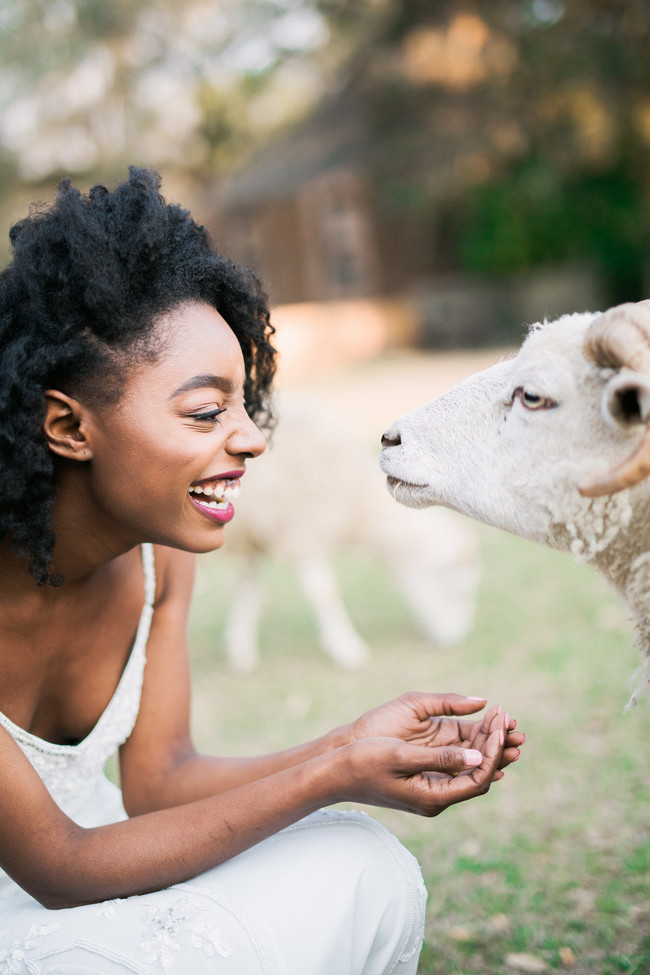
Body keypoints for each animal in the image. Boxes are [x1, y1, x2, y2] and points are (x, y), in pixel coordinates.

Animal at [218, 396, 476, 672]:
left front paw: (241, 651)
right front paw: (346, 648)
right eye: (460, 589)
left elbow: (248, 591)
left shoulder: (257, 537)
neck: (360, 502)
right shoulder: (300, 532)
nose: (454, 639)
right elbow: (325, 591)